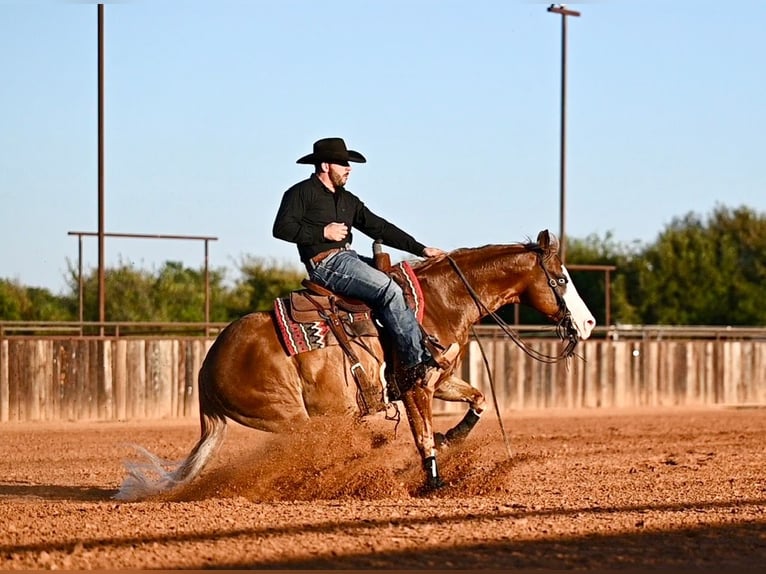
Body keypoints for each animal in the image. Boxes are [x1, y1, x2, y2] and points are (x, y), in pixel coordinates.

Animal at [116, 229, 596, 500]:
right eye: (561, 278)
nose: (589, 323)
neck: (442, 301)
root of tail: (206, 369)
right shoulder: (416, 386)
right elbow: (423, 437)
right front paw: (433, 484)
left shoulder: (438, 379)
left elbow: (477, 400)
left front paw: (453, 436)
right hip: (291, 416)